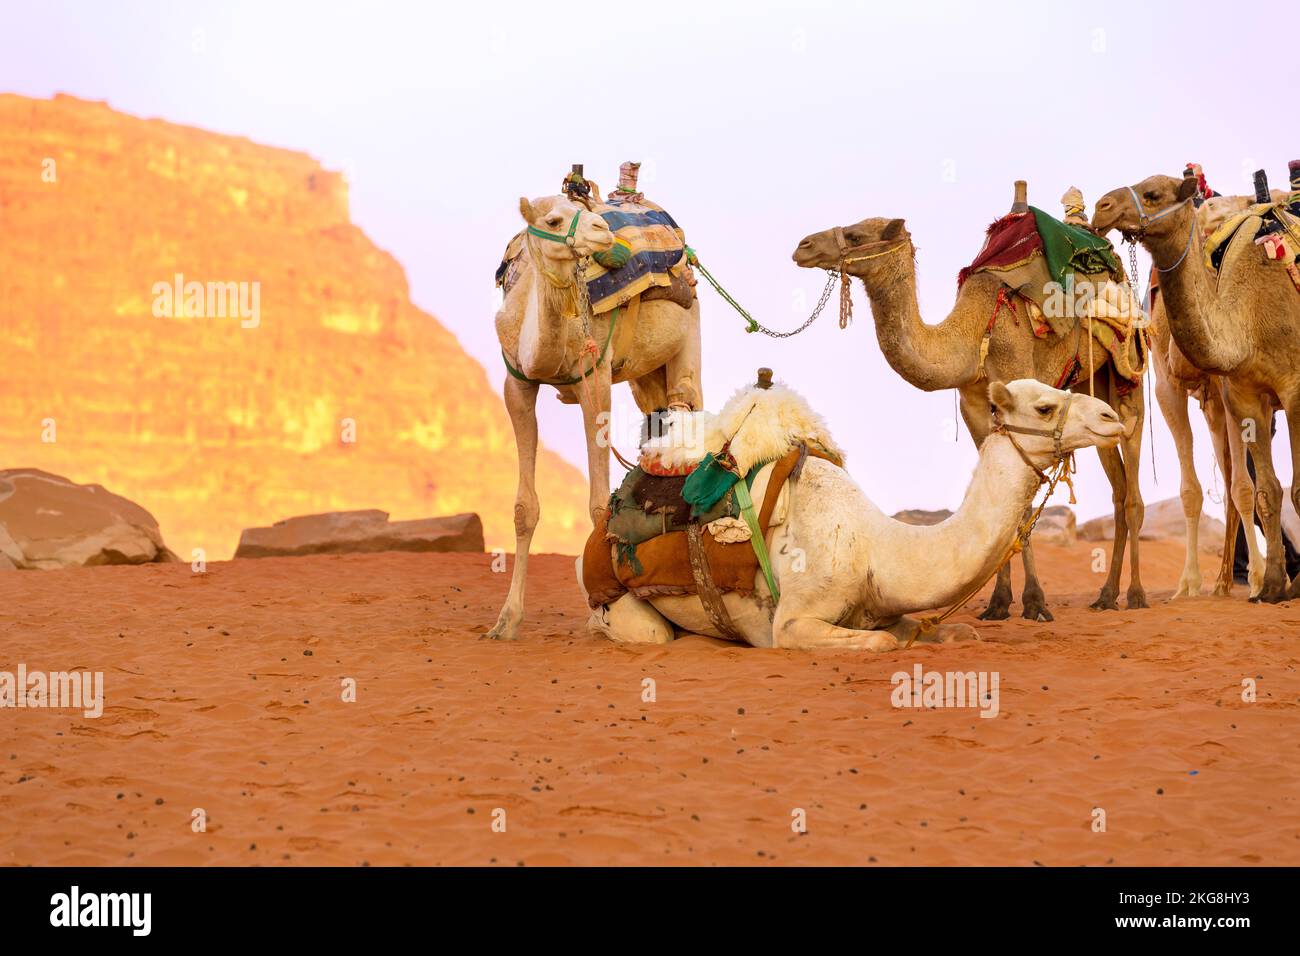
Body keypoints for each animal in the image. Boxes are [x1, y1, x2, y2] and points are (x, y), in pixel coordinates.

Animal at [488, 192, 707, 642]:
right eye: (553, 221)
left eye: (582, 213)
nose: (602, 231)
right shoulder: (516, 383)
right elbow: (524, 509)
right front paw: (505, 620)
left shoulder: (596, 375)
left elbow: (597, 505)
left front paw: (601, 612)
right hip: (644, 375)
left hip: (688, 326)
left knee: (689, 400)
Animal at [579, 374, 1128, 650]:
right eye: (1043, 407)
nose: (1112, 418)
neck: (875, 547)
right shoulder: (792, 624)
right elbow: (882, 644)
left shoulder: (882, 606)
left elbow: (940, 631)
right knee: (644, 631)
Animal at [790, 208, 1149, 621]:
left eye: (855, 235)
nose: (803, 246)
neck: (974, 333)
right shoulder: (976, 406)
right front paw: (998, 602)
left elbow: (1022, 504)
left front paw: (1035, 602)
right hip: (1095, 381)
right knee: (1118, 488)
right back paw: (1106, 595)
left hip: (1129, 370)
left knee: (1133, 485)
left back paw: (1136, 595)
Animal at [1097, 172, 1300, 600]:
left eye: (1153, 194)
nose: (1101, 207)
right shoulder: (1215, 393)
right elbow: (1254, 489)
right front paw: (1195, 584)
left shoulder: (1290, 391)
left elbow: (1265, 487)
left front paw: (1267, 580)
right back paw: (1227, 579)